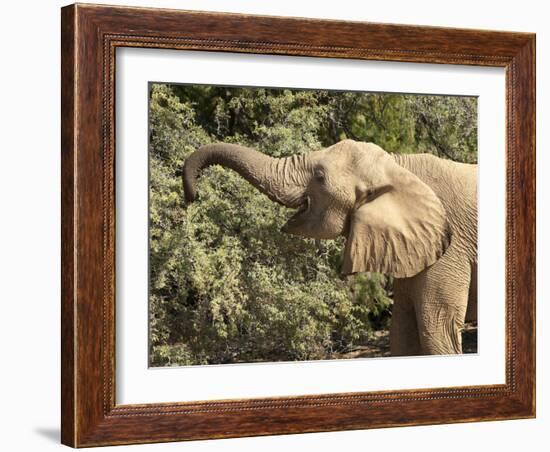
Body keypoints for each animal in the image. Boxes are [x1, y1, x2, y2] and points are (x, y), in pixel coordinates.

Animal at [182, 139, 478, 354]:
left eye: (319, 176)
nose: (192, 196)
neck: (399, 165)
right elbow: (403, 331)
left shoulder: (451, 248)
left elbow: (436, 329)